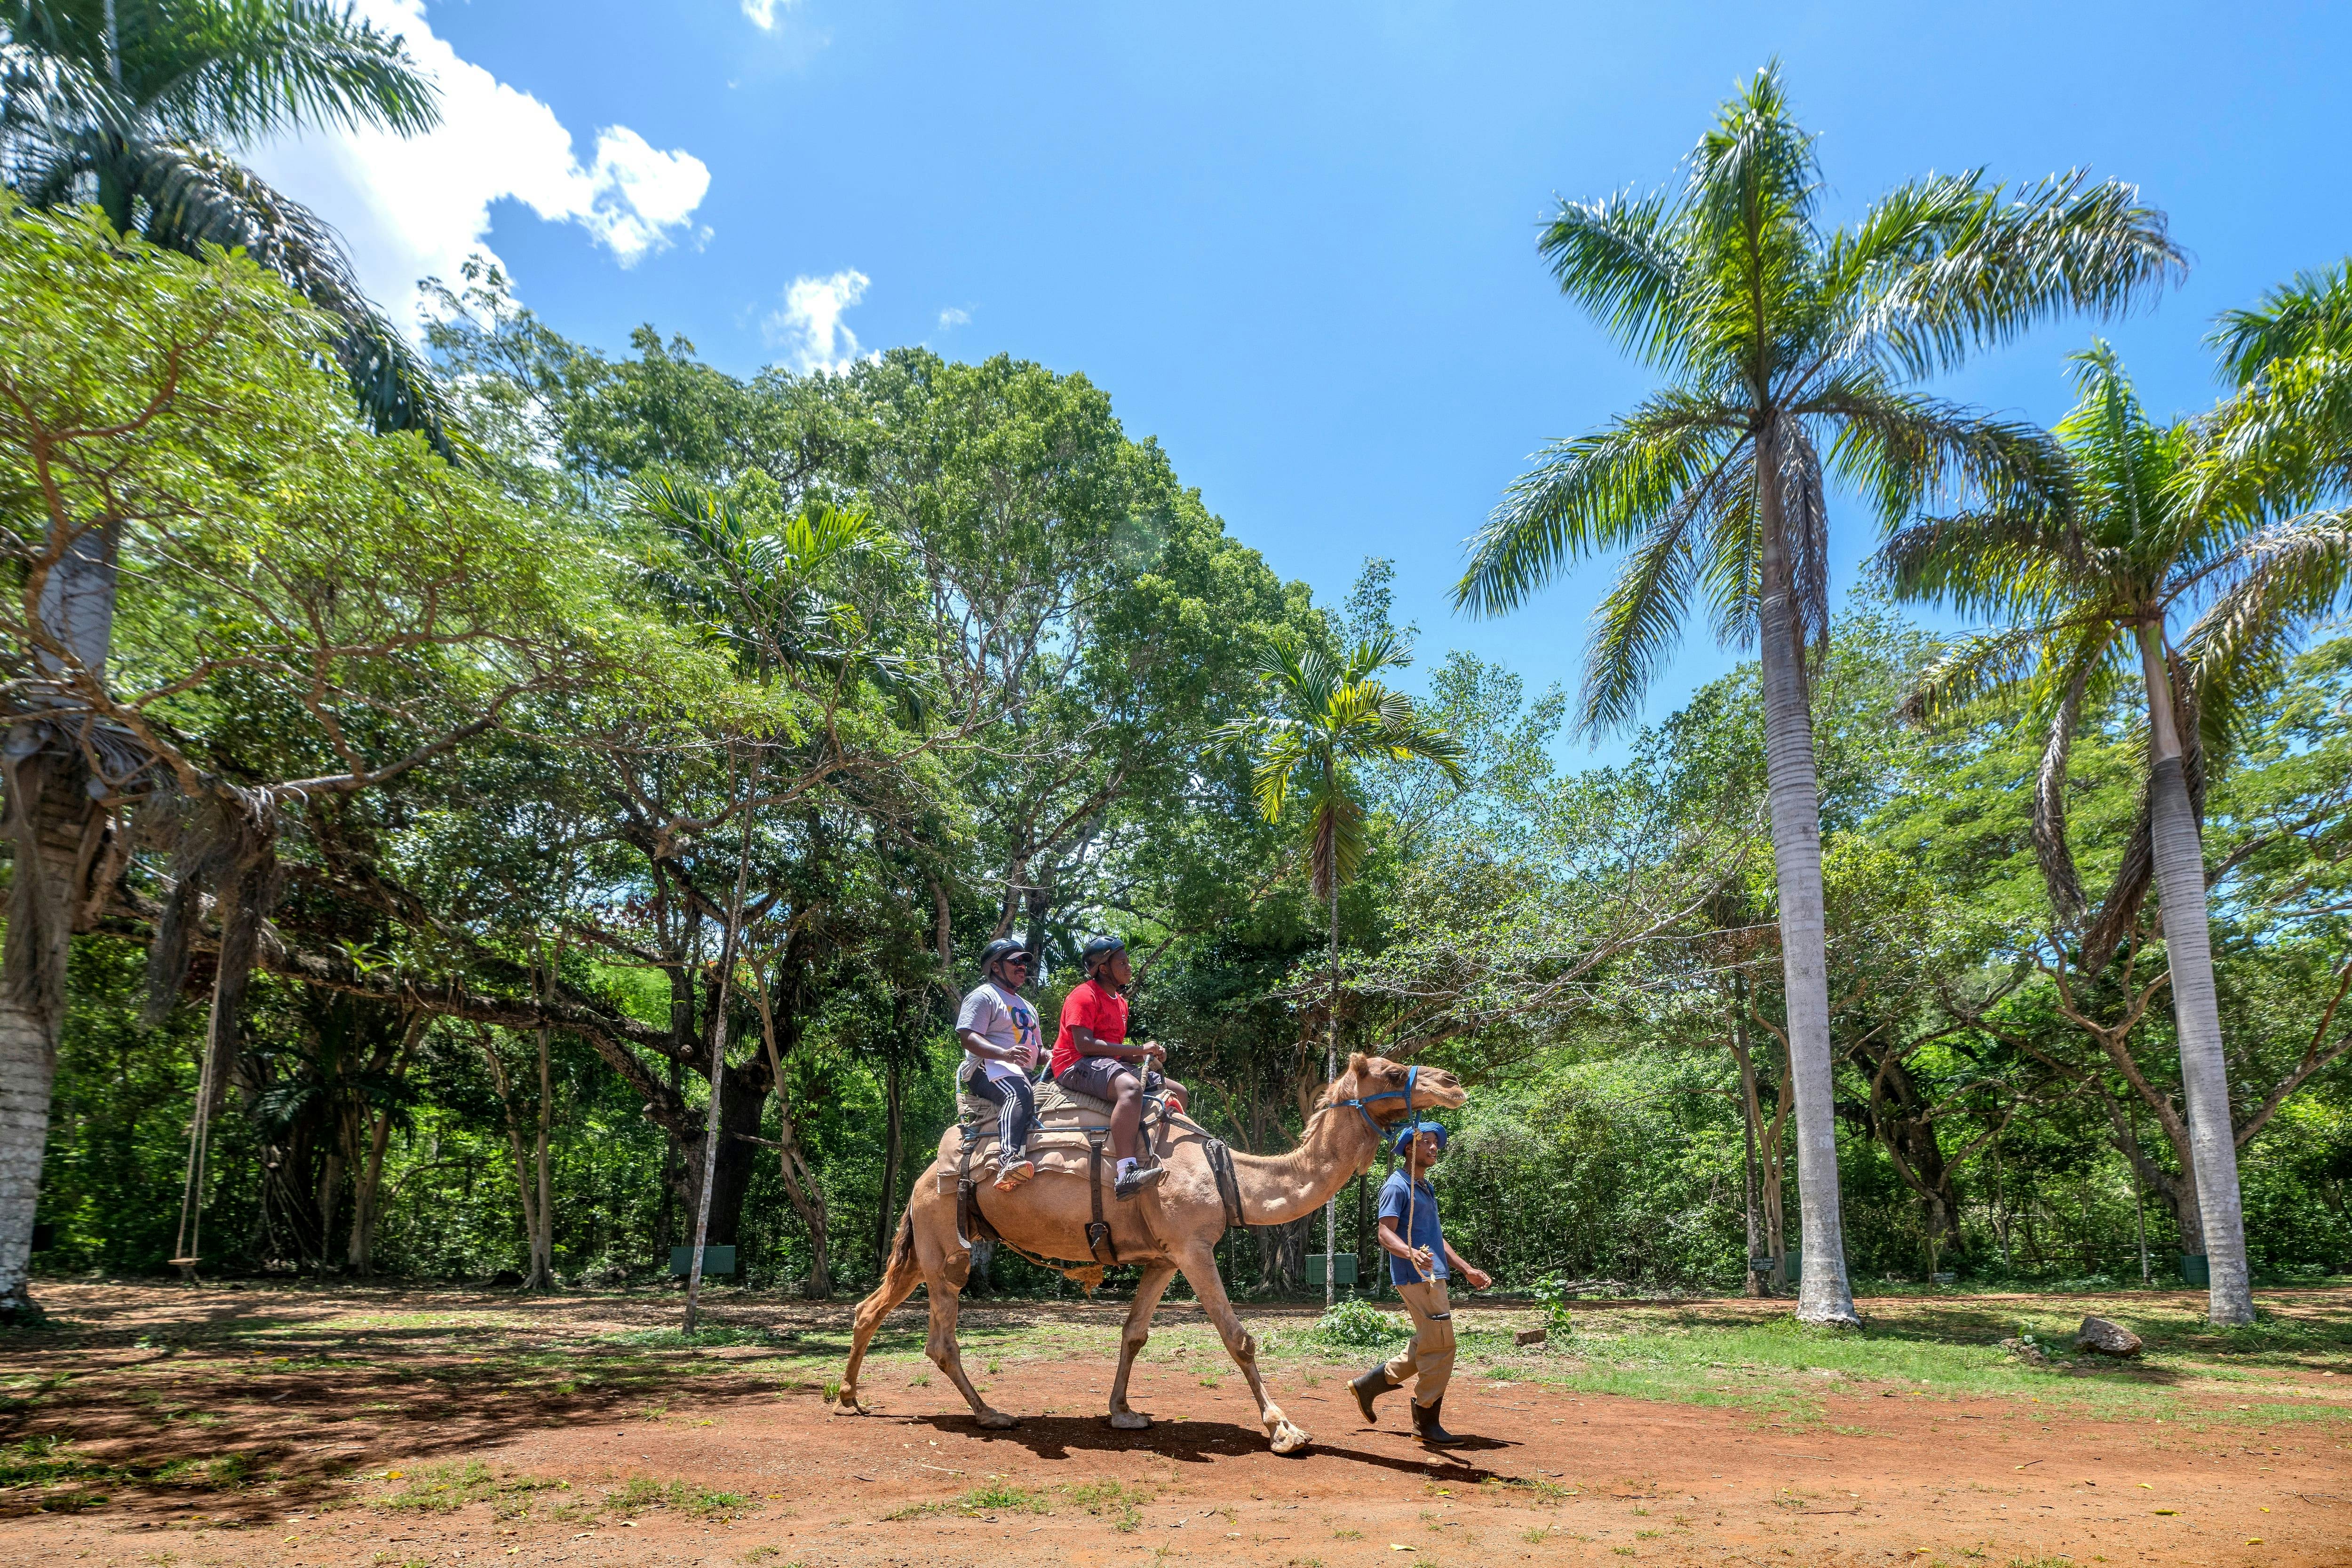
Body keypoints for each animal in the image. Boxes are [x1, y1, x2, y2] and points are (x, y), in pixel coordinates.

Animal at [837, 1053, 1458, 1457]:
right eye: (1390, 1071)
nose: (1452, 1083)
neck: (1229, 1175)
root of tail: (923, 1175)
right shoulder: (1193, 1246)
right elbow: (1239, 1338)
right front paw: (1284, 1428)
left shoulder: (1164, 1256)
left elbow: (1133, 1333)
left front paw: (1123, 1412)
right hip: (946, 1240)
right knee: (940, 1338)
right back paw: (990, 1413)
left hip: (924, 1241)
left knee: (870, 1308)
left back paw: (847, 1398)